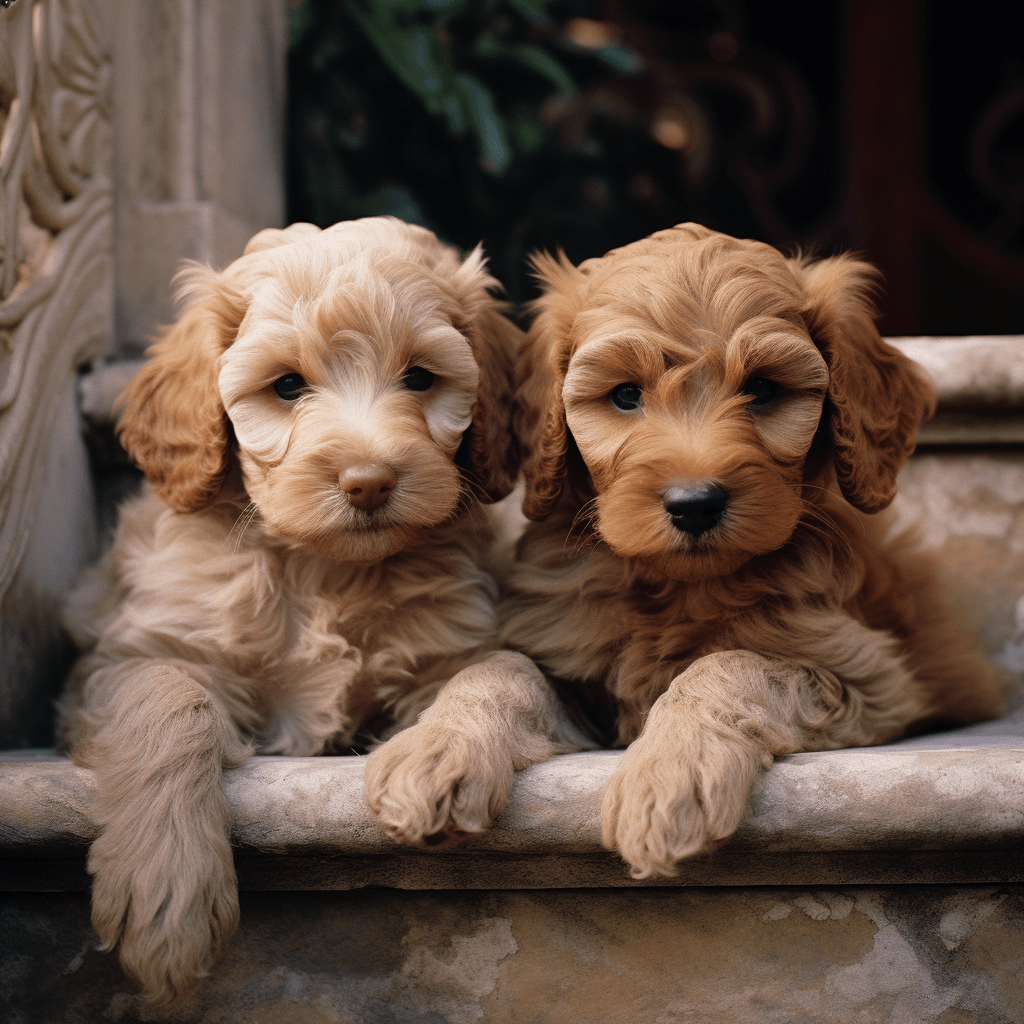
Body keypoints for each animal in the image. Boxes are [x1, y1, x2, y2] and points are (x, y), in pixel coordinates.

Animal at [58, 216, 544, 999]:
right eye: (286, 386)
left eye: (420, 377)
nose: (369, 482)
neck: (323, 570)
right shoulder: (120, 660)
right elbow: (166, 693)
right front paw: (168, 883)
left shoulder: (455, 639)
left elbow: (504, 670)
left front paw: (442, 754)